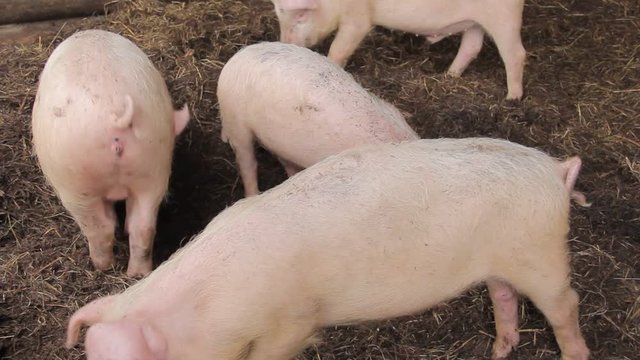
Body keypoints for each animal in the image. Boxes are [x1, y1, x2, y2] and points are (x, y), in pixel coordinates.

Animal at [31, 29, 190, 278]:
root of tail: (115, 112)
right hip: (152, 167)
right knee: (143, 227)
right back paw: (137, 274)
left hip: (77, 183)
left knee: (99, 229)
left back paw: (102, 267)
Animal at [65, 138, 592, 360]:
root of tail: (554, 170)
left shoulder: (292, 324)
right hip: (503, 263)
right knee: (504, 296)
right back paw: (499, 351)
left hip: (542, 253)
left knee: (566, 304)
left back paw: (574, 355)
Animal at [270, 0, 524, 99]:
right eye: (278, 15)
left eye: (301, 15)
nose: (285, 44)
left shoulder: (358, 18)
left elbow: (338, 49)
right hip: (475, 24)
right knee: (472, 47)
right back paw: (449, 76)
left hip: (505, 19)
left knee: (516, 54)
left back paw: (512, 98)